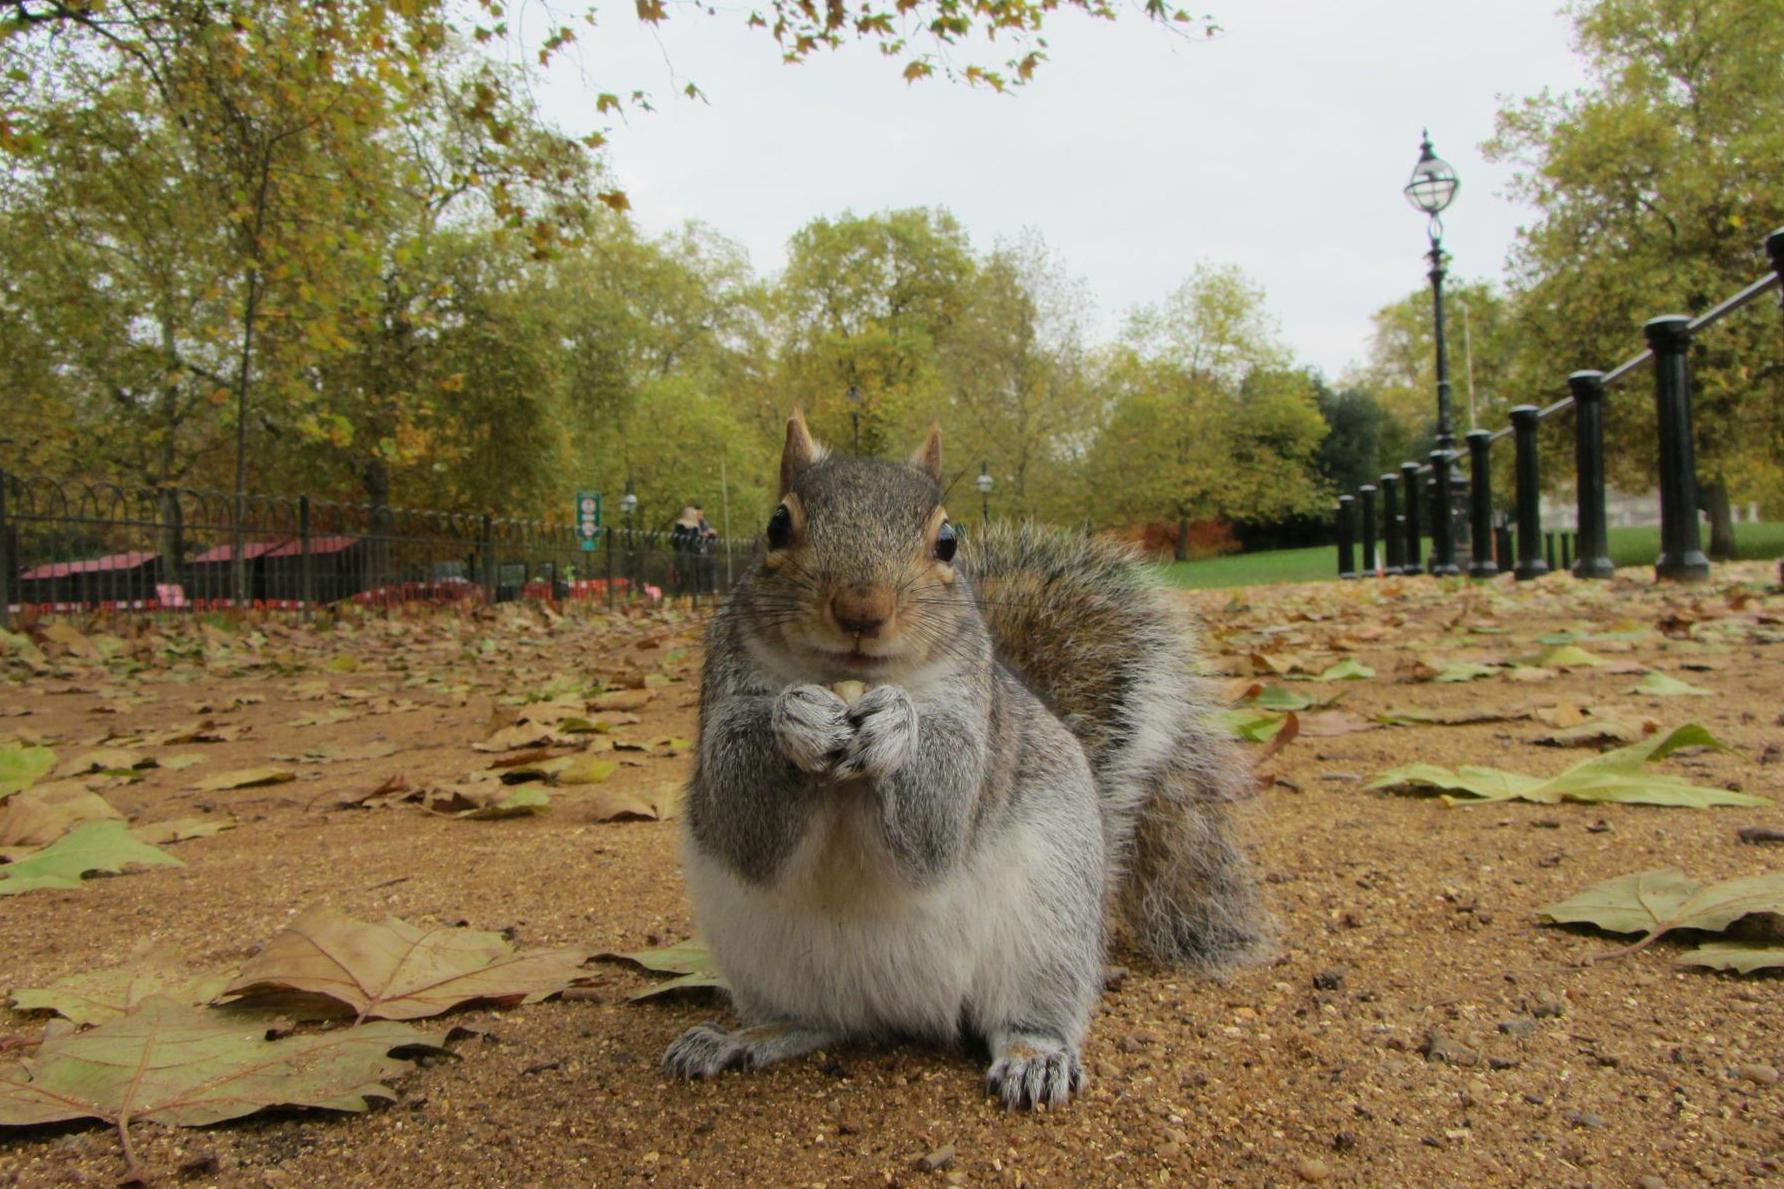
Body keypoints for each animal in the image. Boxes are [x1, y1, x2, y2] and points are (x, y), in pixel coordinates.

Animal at [665, 411, 1267, 1107]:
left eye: (948, 541)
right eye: (776, 526)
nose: (861, 610)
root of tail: (901, 1011)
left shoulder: (973, 717)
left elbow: (941, 817)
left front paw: (897, 724)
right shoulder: (724, 692)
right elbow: (742, 818)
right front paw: (798, 716)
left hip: (1050, 928)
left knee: (1026, 1013)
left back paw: (1036, 1056)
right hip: (758, 955)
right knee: (815, 1021)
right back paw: (742, 1038)